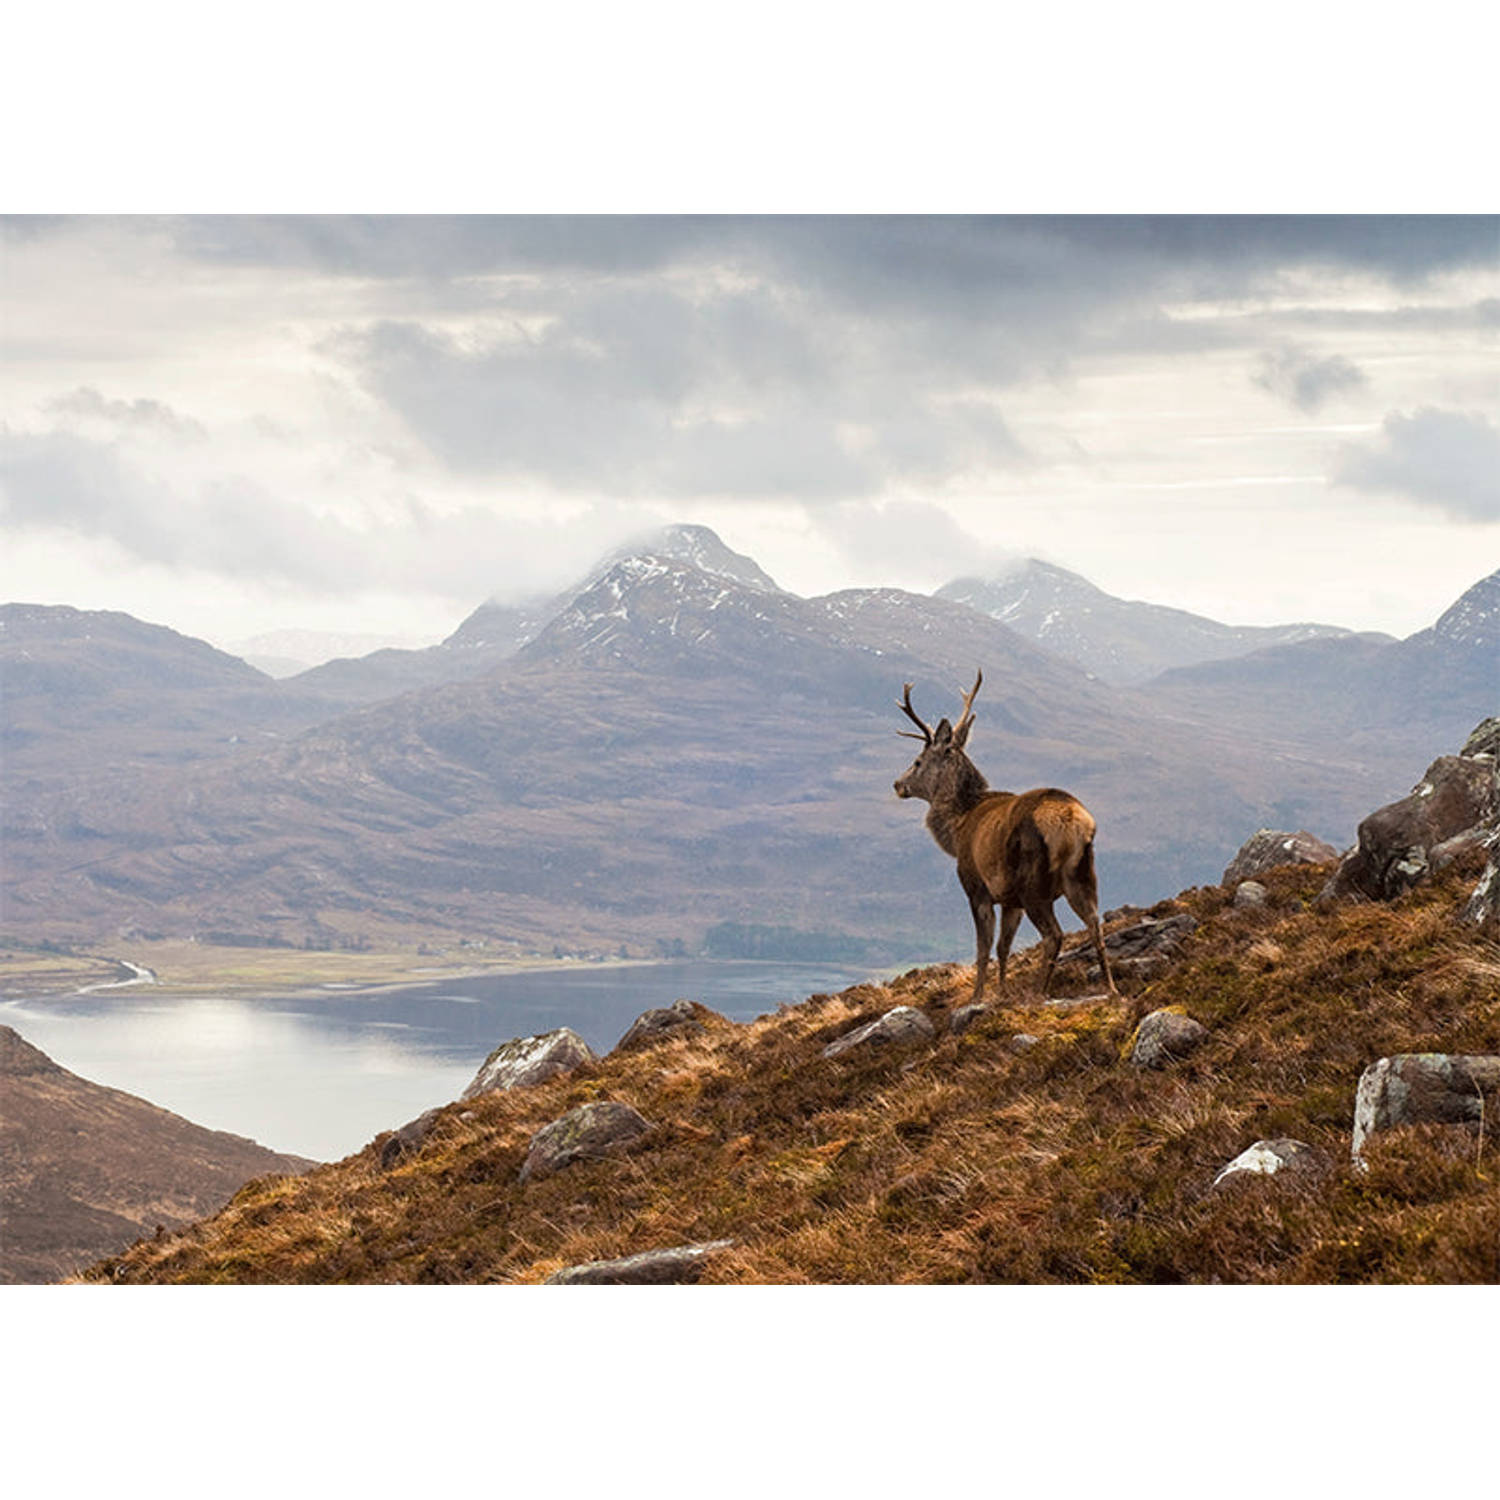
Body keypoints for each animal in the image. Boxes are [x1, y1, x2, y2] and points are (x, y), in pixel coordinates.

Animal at [888, 672, 1116, 1002]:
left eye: (918, 761)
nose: (897, 784)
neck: (956, 831)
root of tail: (1072, 821)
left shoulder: (977, 887)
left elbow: (983, 948)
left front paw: (978, 997)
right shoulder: (1011, 901)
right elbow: (1003, 947)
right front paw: (1003, 992)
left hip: (1032, 882)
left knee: (1054, 935)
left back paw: (1037, 992)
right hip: (1083, 873)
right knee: (1096, 926)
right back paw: (1110, 988)